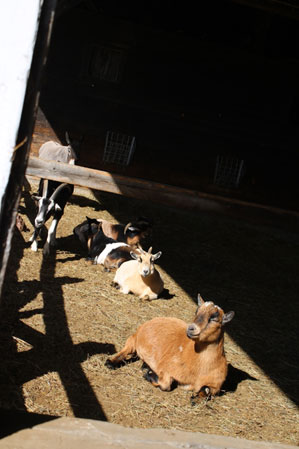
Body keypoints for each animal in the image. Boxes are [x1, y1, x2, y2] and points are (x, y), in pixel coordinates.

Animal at [106, 294, 236, 400]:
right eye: (196, 312)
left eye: (213, 318)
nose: (191, 328)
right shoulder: (167, 367)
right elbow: (166, 385)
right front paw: (149, 374)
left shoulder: (216, 385)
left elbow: (207, 391)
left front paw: (196, 398)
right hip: (134, 338)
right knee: (127, 349)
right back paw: (111, 362)